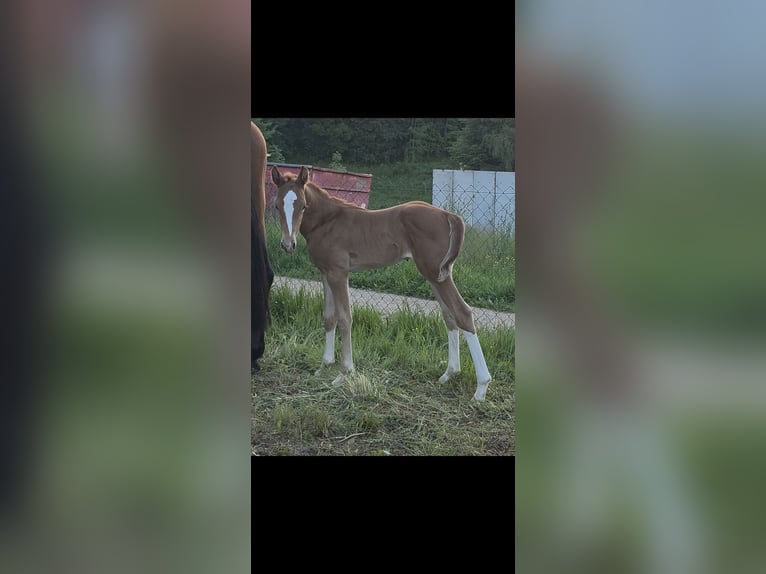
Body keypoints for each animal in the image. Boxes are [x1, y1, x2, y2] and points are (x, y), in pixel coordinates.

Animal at [271, 165, 493, 401]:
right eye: (276, 205)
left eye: (303, 205)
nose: (288, 244)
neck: (327, 222)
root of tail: (448, 214)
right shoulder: (325, 272)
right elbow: (329, 317)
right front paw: (324, 366)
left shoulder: (339, 273)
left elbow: (345, 318)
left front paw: (344, 372)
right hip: (435, 274)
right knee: (449, 315)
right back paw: (449, 373)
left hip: (435, 273)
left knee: (462, 313)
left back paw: (481, 388)